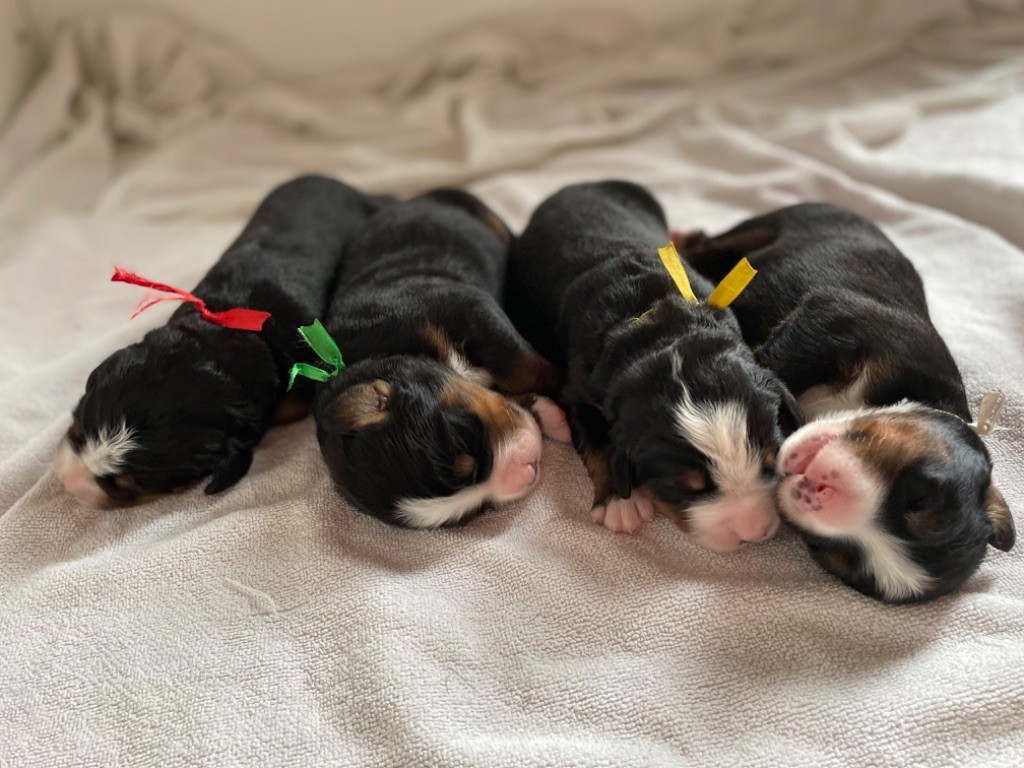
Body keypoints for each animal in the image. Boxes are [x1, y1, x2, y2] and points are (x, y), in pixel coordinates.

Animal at [507, 182, 802, 552]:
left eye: (771, 461)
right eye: (685, 488)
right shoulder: (577, 389)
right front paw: (620, 504)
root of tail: (581, 184)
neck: (658, 325)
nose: (752, 533)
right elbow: (598, 442)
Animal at [679, 202, 1015, 602]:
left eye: (830, 552)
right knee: (708, 245)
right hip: (766, 232)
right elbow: (775, 360)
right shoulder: (839, 324)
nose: (818, 492)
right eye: (919, 495)